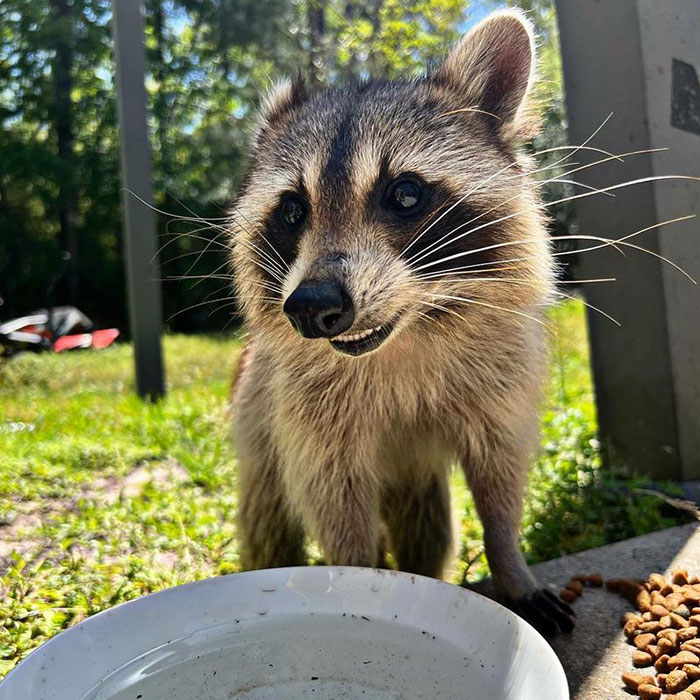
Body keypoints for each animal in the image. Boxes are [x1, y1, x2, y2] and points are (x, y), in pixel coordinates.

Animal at [230, 9, 574, 635]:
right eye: (292, 210)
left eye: (406, 193)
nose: (311, 306)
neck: (405, 336)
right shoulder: (304, 409)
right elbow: (332, 497)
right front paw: (354, 579)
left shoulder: (500, 380)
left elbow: (500, 472)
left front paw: (510, 560)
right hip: (257, 416)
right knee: (266, 518)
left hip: (415, 479)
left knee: (429, 528)